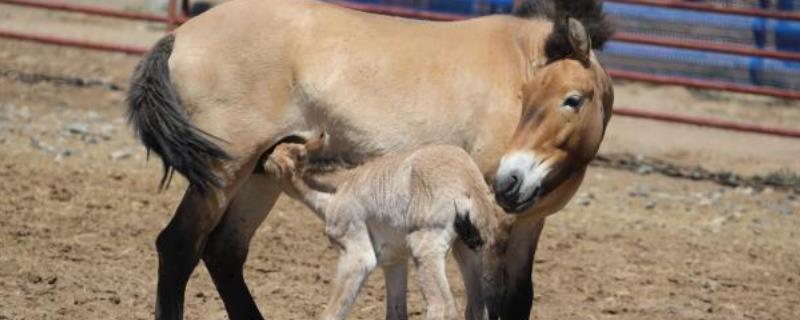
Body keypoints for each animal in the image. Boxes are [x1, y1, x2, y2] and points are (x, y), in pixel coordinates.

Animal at [264, 135, 512, 320]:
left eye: (279, 154)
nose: (264, 159)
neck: (340, 187)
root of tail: (471, 183)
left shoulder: (357, 257)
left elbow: (333, 312)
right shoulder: (394, 260)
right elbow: (396, 312)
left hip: (426, 251)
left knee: (443, 307)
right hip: (468, 252)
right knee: (477, 308)